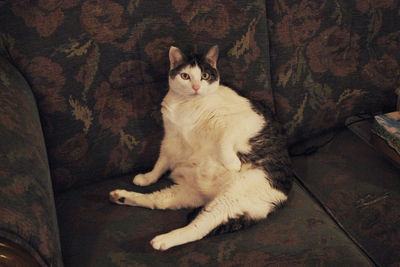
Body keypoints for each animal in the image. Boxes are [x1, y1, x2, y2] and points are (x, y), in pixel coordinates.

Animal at [109, 45, 294, 252]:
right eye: (185, 76)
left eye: (204, 75)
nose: (196, 87)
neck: (187, 106)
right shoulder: (170, 138)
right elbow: (161, 162)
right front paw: (148, 177)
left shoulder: (248, 119)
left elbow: (224, 138)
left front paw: (232, 162)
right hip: (188, 193)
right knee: (158, 201)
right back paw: (121, 197)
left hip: (230, 198)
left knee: (198, 228)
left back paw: (163, 240)